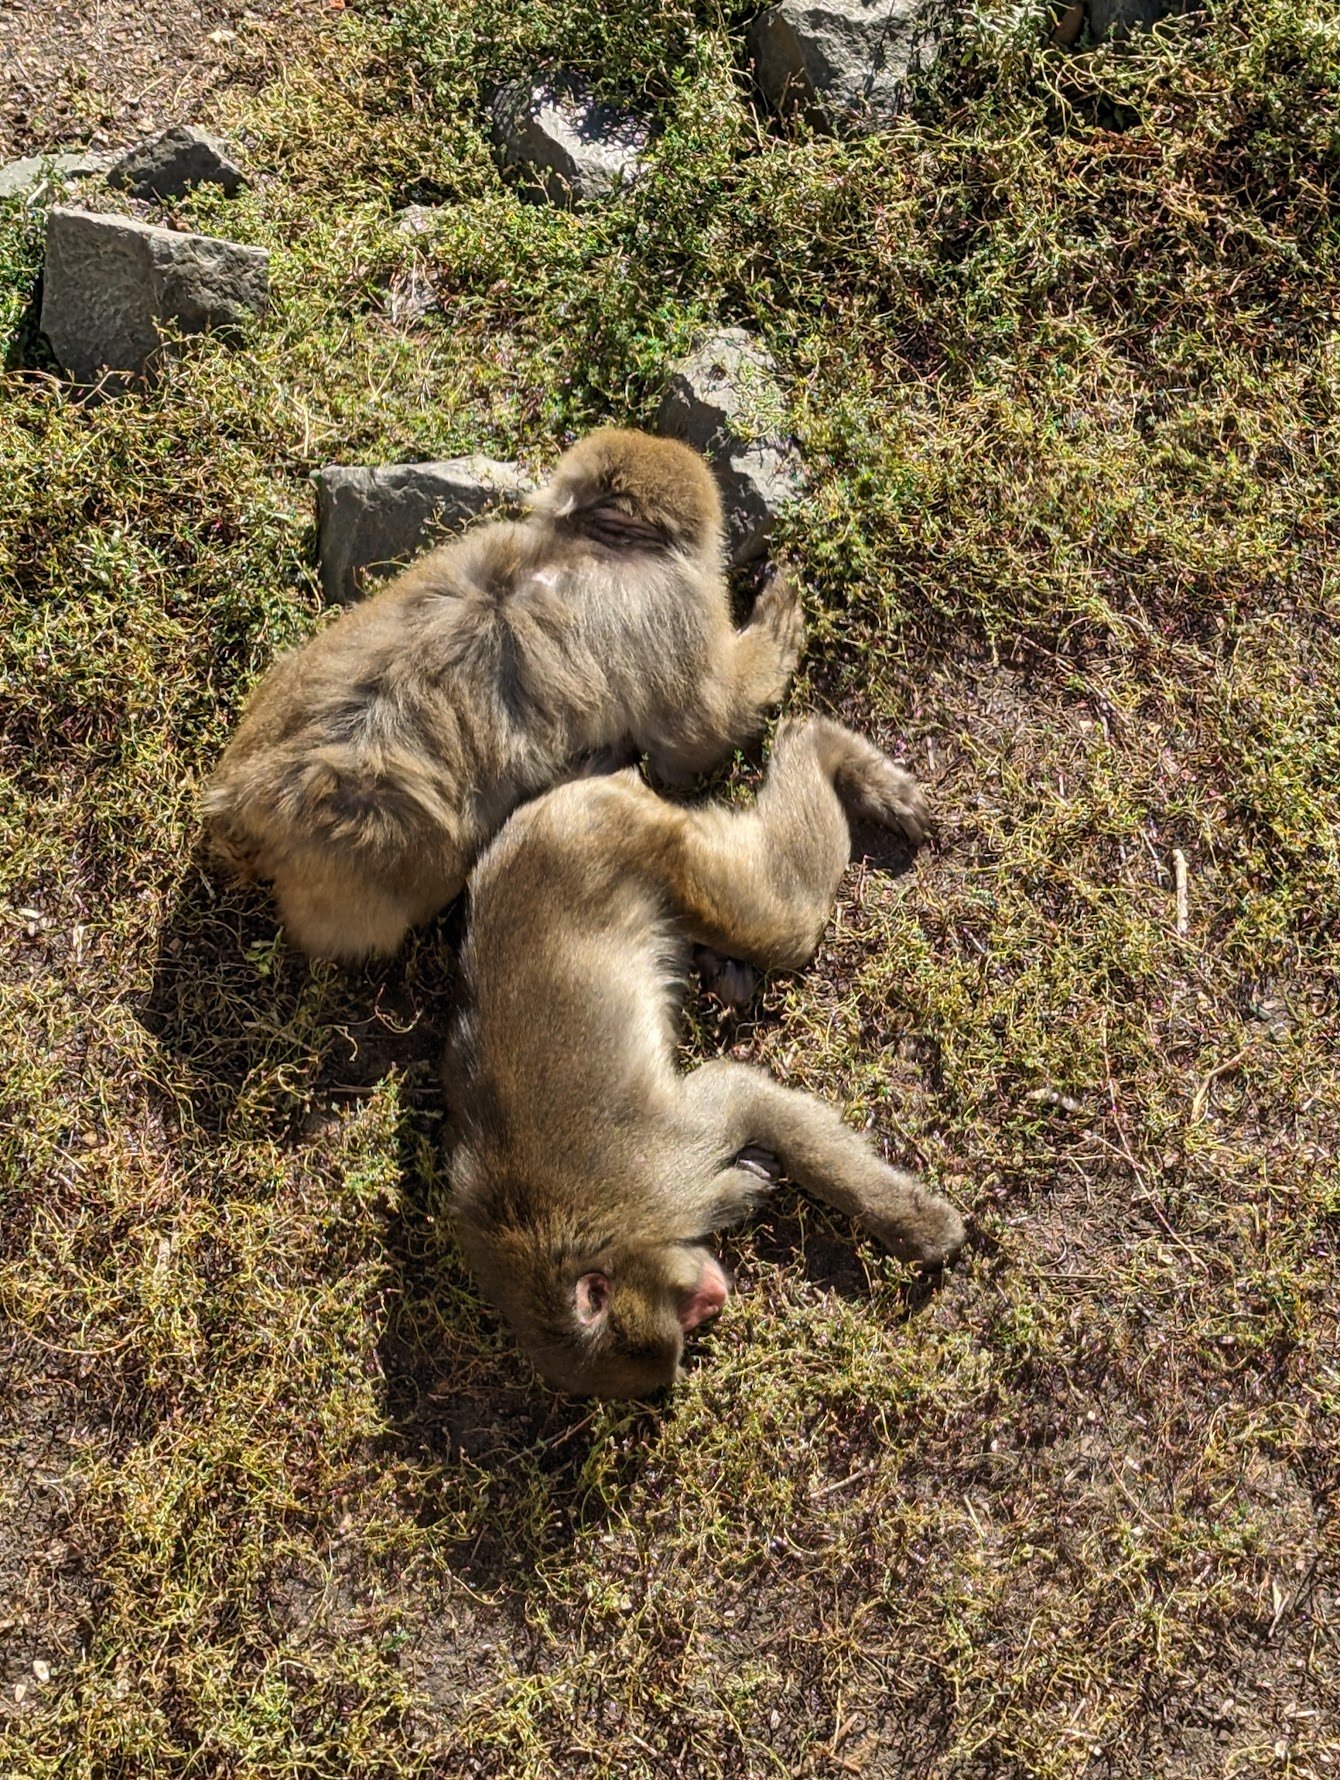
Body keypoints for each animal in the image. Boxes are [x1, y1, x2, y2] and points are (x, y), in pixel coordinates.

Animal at [446, 715, 960, 1395]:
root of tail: (555, 807)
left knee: (782, 925)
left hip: (632, 837)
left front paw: (917, 1228)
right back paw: (725, 971)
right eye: (689, 1320)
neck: (565, 1235)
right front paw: (742, 1187)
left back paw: (825, 747)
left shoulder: (656, 1176)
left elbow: (746, 1099)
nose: (716, 1300)